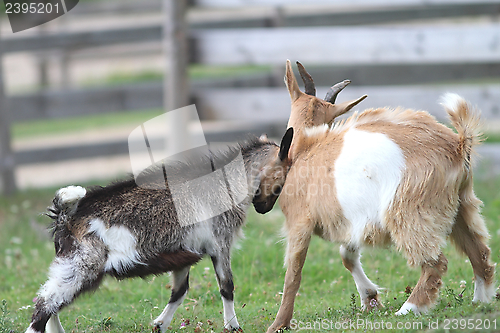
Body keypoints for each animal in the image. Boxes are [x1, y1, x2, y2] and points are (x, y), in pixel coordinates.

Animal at [24, 128, 292, 332]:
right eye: (284, 175)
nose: (263, 209)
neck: (228, 184)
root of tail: (65, 215)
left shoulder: (186, 252)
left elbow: (179, 291)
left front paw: (160, 324)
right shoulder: (220, 243)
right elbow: (227, 286)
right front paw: (233, 326)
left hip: (70, 265)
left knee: (51, 304)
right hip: (81, 265)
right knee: (45, 305)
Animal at [266, 61, 496, 330]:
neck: (305, 148)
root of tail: (458, 144)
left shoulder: (299, 222)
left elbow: (293, 273)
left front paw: (278, 324)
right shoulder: (353, 220)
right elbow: (347, 255)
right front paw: (370, 299)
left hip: (410, 210)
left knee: (435, 262)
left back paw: (408, 309)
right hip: (461, 204)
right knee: (479, 252)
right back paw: (480, 301)